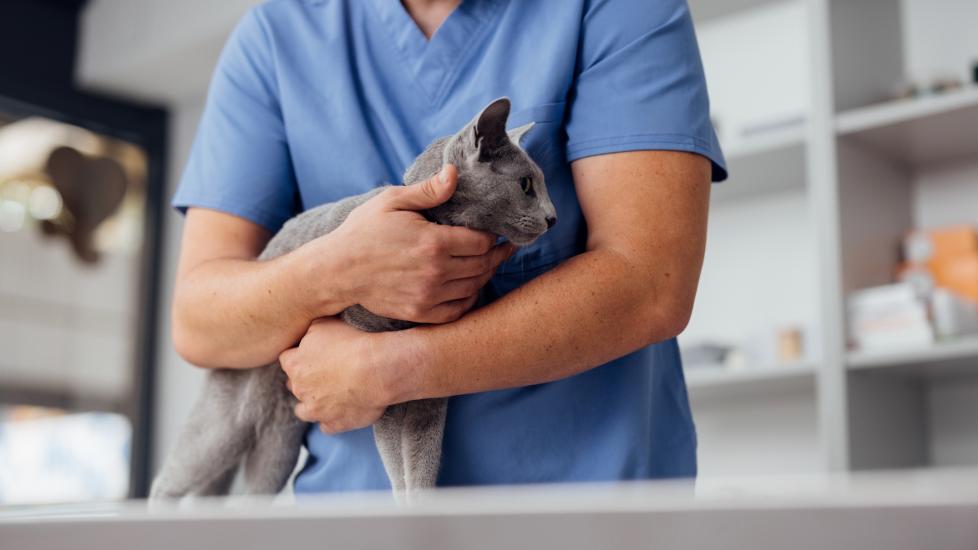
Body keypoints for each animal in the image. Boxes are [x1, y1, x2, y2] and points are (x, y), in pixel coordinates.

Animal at [148, 97, 552, 502]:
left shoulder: (428, 391)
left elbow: (421, 460)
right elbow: (394, 461)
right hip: (224, 423)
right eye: (526, 184)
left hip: (276, 444)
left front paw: (421, 504)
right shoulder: (375, 382)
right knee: (169, 478)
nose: (553, 217)